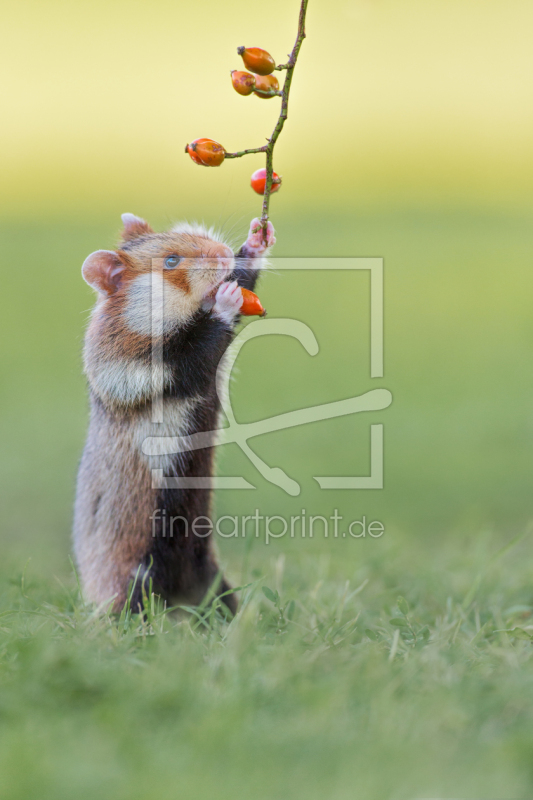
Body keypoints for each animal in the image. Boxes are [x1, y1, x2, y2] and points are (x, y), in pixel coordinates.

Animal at [72, 212, 276, 612]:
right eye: (170, 261)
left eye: (192, 236)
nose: (223, 253)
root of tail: (178, 596)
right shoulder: (154, 370)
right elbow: (203, 343)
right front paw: (226, 299)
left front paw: (257, 239)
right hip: (135, 579)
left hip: (208, 574)